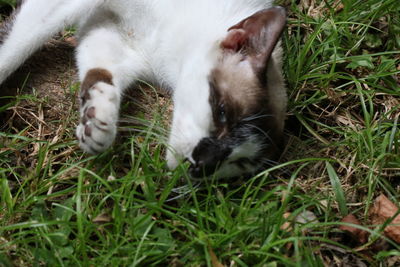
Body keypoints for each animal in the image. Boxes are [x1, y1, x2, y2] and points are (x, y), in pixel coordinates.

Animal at [0, 0, 288, 180]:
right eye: (222, 112)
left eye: (241, 163)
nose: (204, 164)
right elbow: (11, 52)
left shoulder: (109, 34)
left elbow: (101, 79)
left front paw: (97, 128)